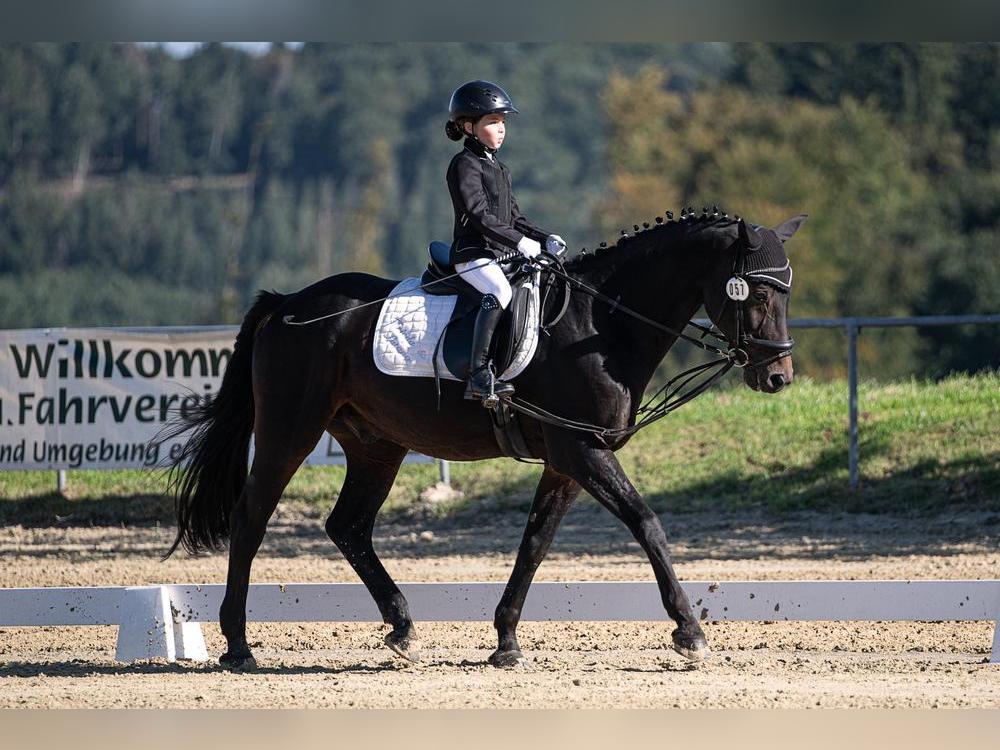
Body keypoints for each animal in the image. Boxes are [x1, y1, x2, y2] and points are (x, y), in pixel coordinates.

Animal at [162, 210, 804, 668]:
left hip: (376, 444)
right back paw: (239, 646)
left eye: (786, 293)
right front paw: (689, 633)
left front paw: (506, 641)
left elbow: (535, 543)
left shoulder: (567, 460)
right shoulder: (581, 451)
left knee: (348, 526)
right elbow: (646, 522)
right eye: (757, 293)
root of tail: (287, 305)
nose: (778, 378)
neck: (601, 324)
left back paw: (402, 629)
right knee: (251, 518)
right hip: (289, 430)